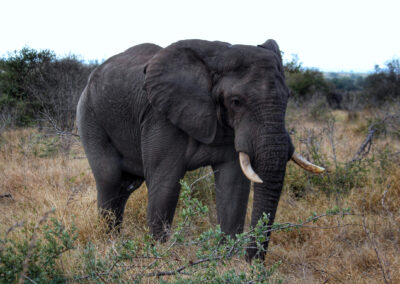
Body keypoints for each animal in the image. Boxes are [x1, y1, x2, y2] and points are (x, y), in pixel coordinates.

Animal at [76, 38, 324, 260]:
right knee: (109, 179)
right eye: (236, 101)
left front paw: (226, 260)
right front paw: (158, 255)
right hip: (89, 116)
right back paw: (108, 242)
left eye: (288, 97)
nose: (253, 262)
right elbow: (166, 184)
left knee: (126, 186)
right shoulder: (160, 117)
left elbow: (233, 186)